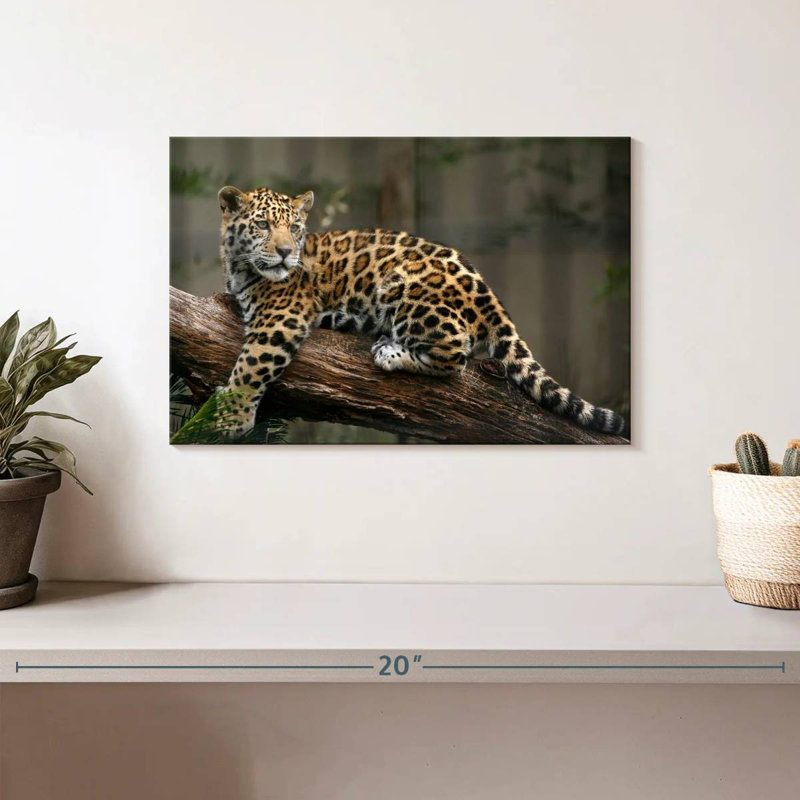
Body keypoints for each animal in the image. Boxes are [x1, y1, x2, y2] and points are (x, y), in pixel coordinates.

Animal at [215, 184, 627, 439]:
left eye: (296, 228)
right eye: (263, 224)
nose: (287, 252)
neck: (239, 266)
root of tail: (489, 294)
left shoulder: (280, 318)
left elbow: (251, 366)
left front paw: (229, 418)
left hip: (406, 290)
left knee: (456, 356)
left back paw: (390, 351)